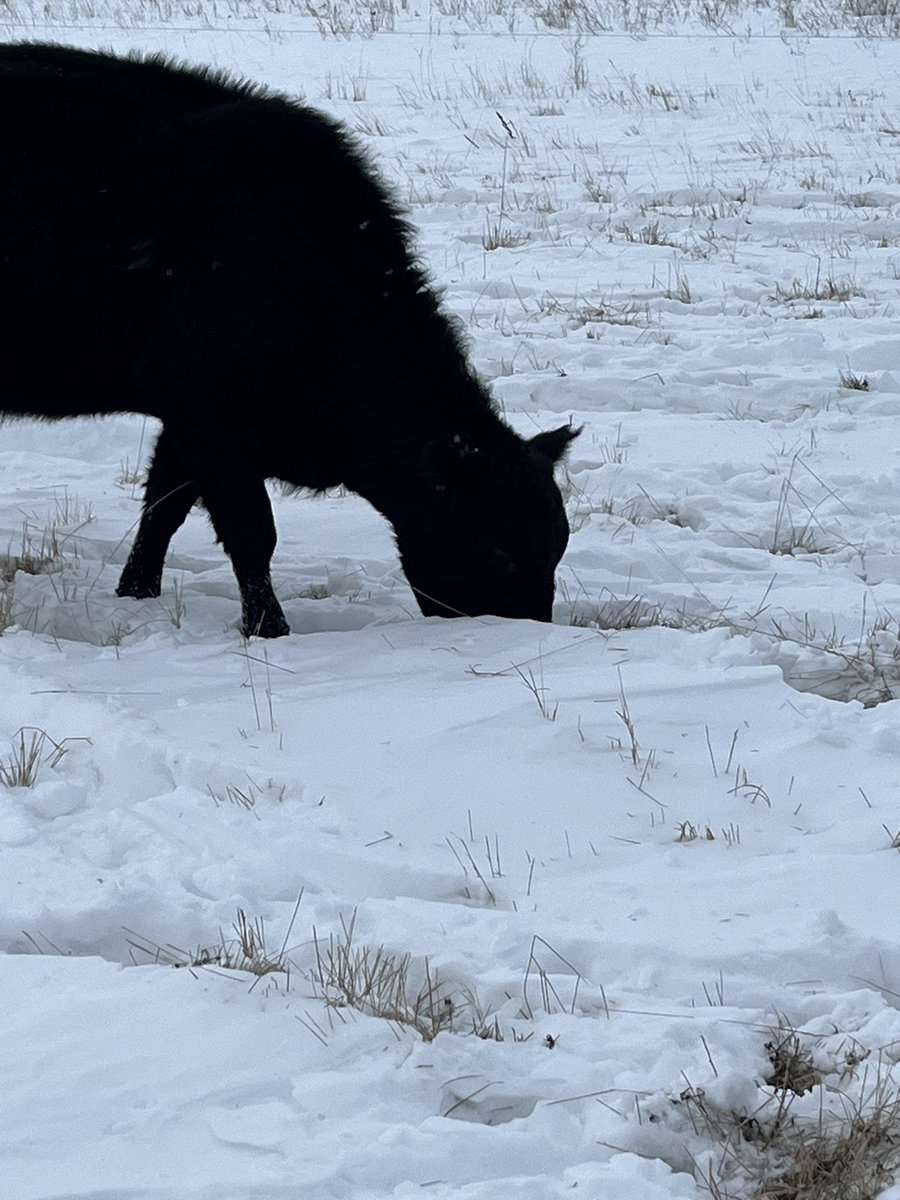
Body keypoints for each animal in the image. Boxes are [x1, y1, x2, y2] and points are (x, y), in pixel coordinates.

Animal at [0, 43, 578, 637]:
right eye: (500, 551)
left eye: (559, 545)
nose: (529, 629)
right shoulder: (210, 414)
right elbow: (252, 530)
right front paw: (269, 629)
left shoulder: (186, 421)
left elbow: (163, 509)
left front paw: (136, 594)